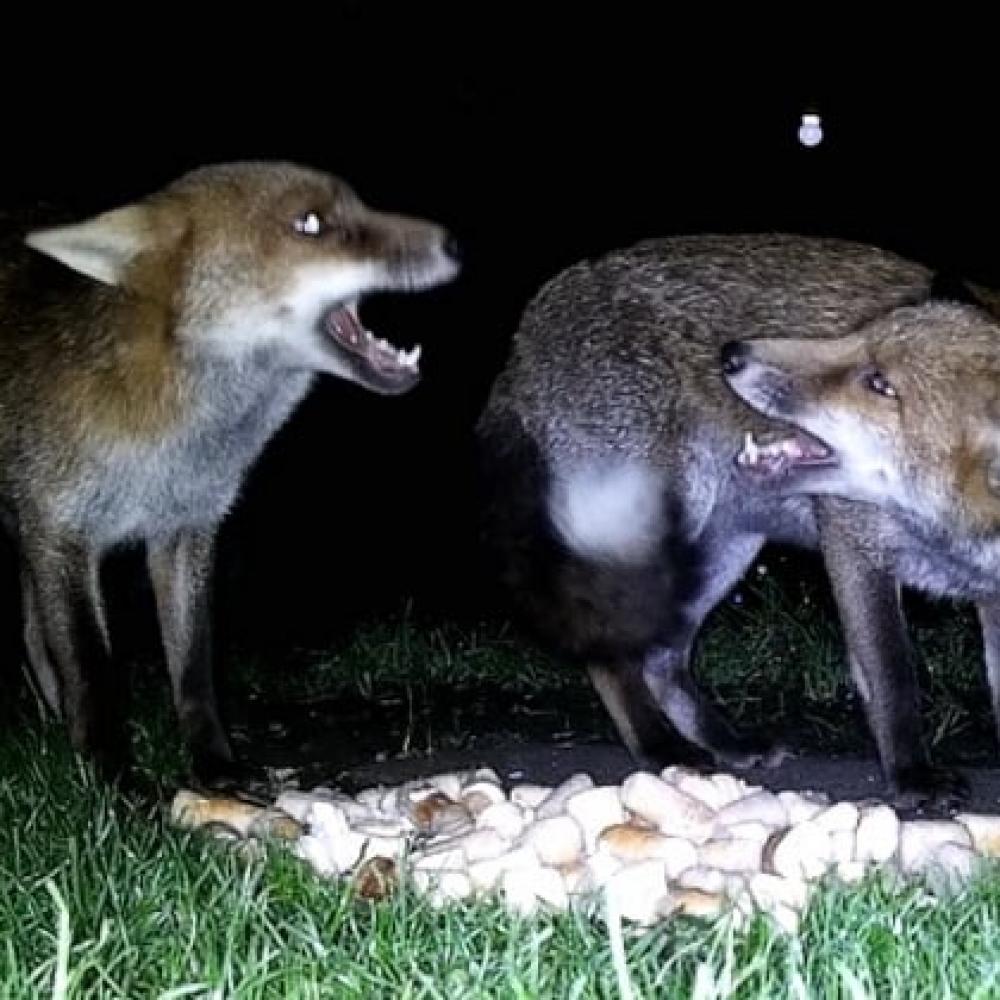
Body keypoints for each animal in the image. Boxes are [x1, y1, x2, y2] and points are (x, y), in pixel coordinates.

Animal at [0, 161, 460, 789]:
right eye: (310, 223)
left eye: (360, 205)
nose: (454, 243)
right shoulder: (61, 531)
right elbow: (93, 674)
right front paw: (118, 787)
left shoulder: (187, 529)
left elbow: (194, 671)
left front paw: (217, 769)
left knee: (32, 637)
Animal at [477, 233, 996, 807]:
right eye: (857, 339)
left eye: (879, 383)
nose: (732, 354)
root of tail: (535, 316)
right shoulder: (852, 537)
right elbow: (892, 675)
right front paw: (912, 777)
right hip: (651, 532)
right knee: (616, 652)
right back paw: (662, 747)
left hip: (723, 550)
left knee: (662, 659)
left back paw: (725, 742)